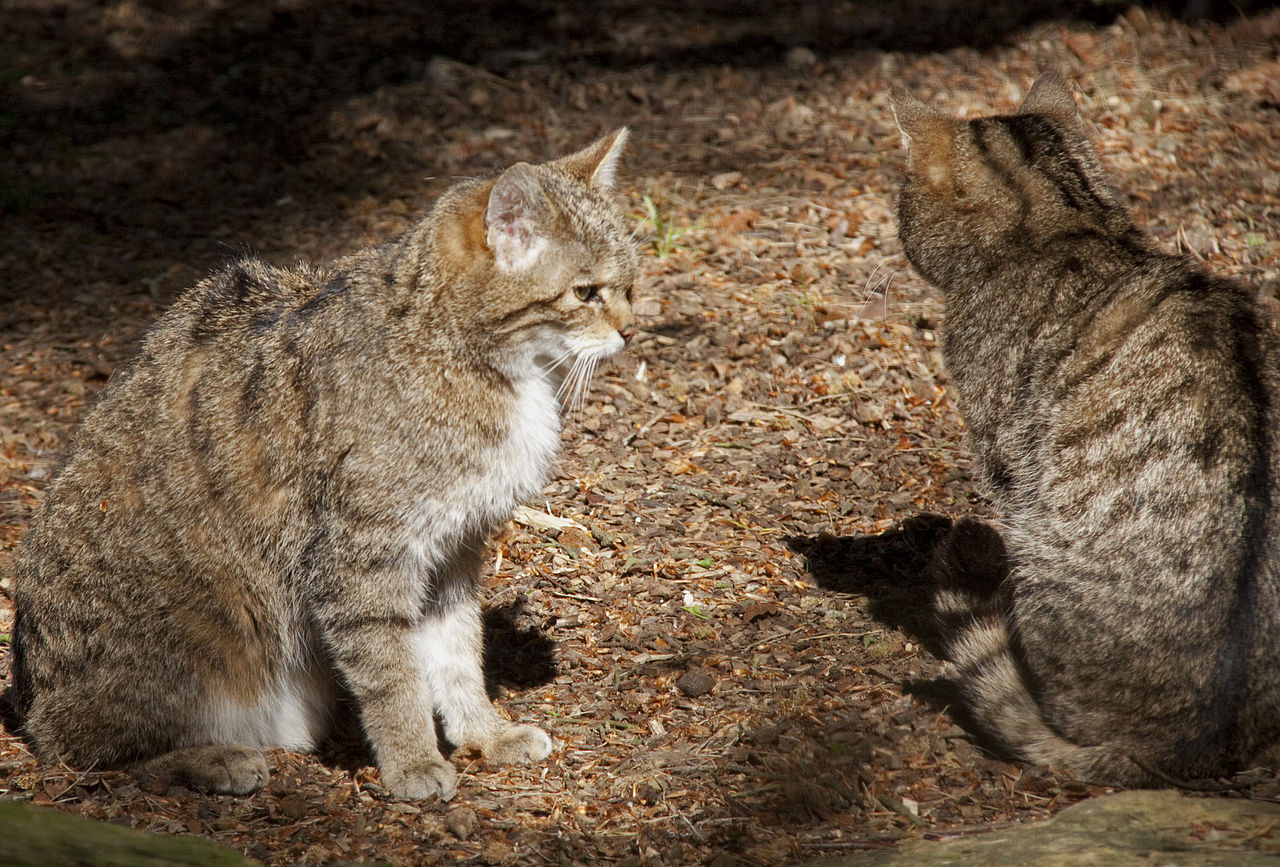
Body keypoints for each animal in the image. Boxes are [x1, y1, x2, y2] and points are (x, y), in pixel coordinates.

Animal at [11, 128, 640, 799]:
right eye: (586, 292)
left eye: (631, 285)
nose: (632, 330)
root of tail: (28, 693)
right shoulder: (362, 558)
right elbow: (393, 676)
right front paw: (412, 761)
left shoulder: (453, 551)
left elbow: (458, 656)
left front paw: (483, 733)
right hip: (187, 632)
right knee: (84, 752)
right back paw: (211, 758)